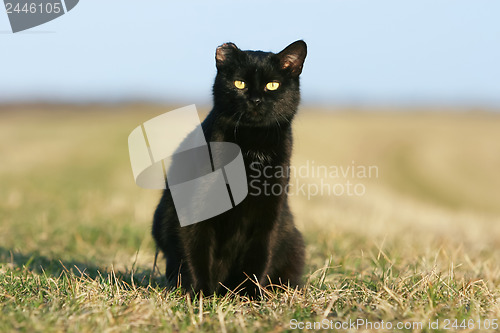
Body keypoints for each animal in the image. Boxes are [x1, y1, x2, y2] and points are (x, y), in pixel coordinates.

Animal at [152, 39, 306, 296]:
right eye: (239, 83)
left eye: (272, 85)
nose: (255, 100)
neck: (252, 144)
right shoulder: (195, 207)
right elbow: (196, 252)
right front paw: (201, 294)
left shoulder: (270, 213)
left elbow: (259, 256)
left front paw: (250, 296)